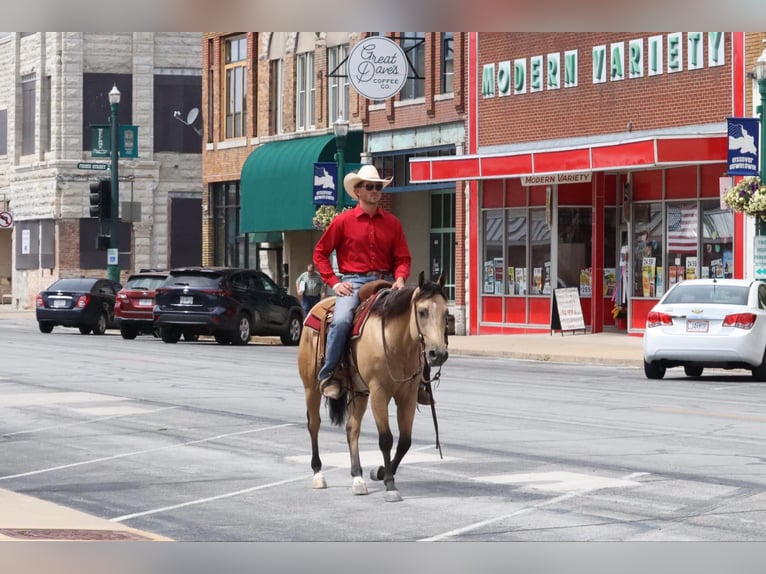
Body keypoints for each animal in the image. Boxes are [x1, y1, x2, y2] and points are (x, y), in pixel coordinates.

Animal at [296, 272, 450, 502]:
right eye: (422, 312)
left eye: (446, 312)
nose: (437, 354)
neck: (396, 341)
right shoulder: (379, 392)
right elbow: (386, 439)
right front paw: (390, 485)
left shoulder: (407, 395)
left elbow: (405, 441)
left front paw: (379, 472)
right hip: (311, 388)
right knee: (314, 424)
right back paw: (318, 474)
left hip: (360, 392)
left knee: (352, 428)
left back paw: (357, 478)